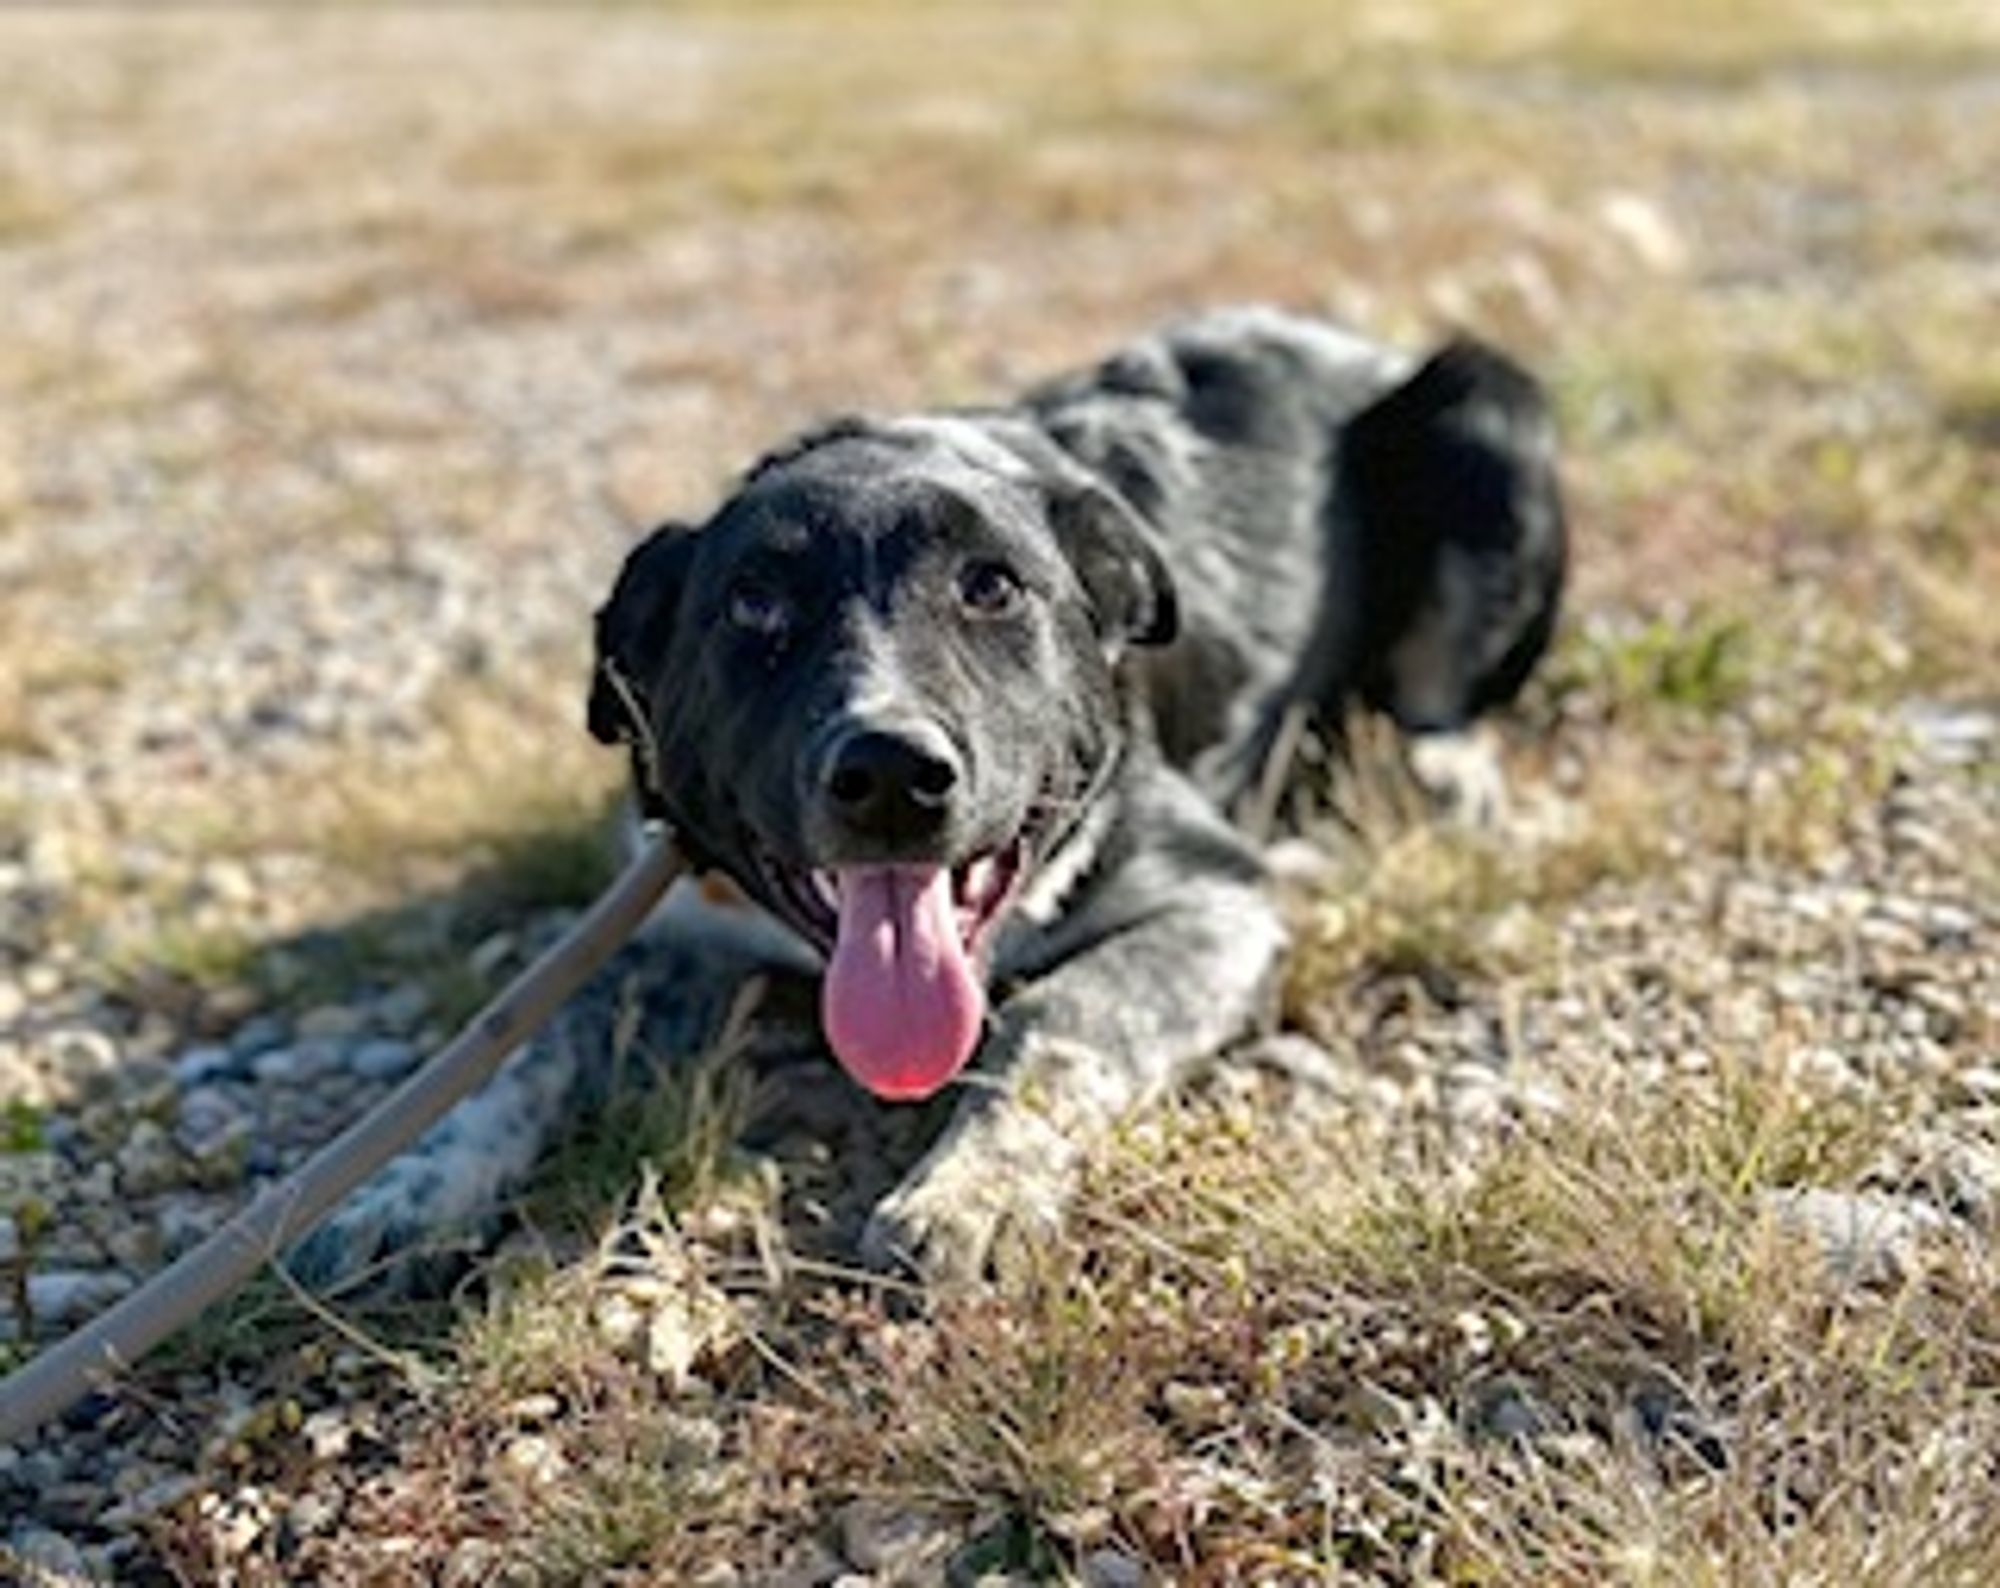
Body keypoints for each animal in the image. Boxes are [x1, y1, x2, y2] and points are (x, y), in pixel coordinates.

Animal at [296, 306, 1568, 1288]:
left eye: (991, 588)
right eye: (751, 605)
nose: (889, 773)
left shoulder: (1211, 901)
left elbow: (1057, 1019)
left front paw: (967, 1194)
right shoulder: (673, 922)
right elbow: (523, 1044)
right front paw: (401, 1189)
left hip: (1487, 412)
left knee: (1436, 697)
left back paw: (1438, 773)